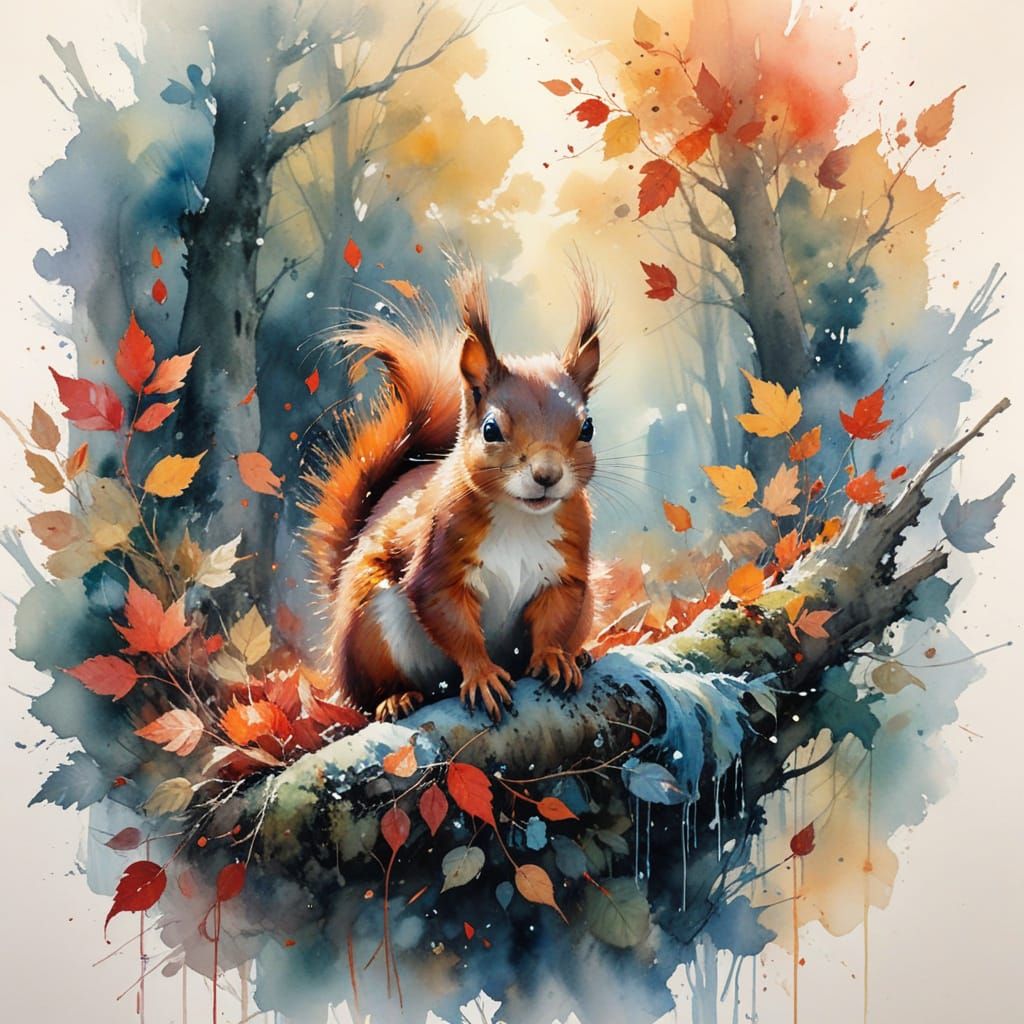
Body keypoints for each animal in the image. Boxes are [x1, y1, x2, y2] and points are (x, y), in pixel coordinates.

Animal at [303, 263, 605, 723]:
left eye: (587, 428)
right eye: (490, 429)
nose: (547, 475)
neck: (520, 517)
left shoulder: (567, 562)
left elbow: (556, 615)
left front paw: (554, 656)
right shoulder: (440, 551)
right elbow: (452, 620)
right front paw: (482, 675)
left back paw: (580, 654)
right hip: (369, 625)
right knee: (373, 691)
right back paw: (396, 698)